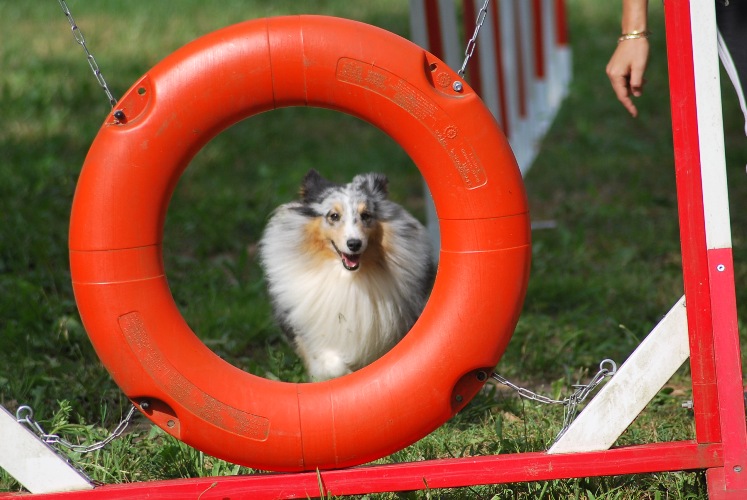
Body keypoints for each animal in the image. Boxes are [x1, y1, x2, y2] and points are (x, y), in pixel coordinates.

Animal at [258, 170, 436, 380]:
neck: (347, 278)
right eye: (333, 216)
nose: (354, 244)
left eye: (366, 215)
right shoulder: (306, 334)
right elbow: (332, 364)